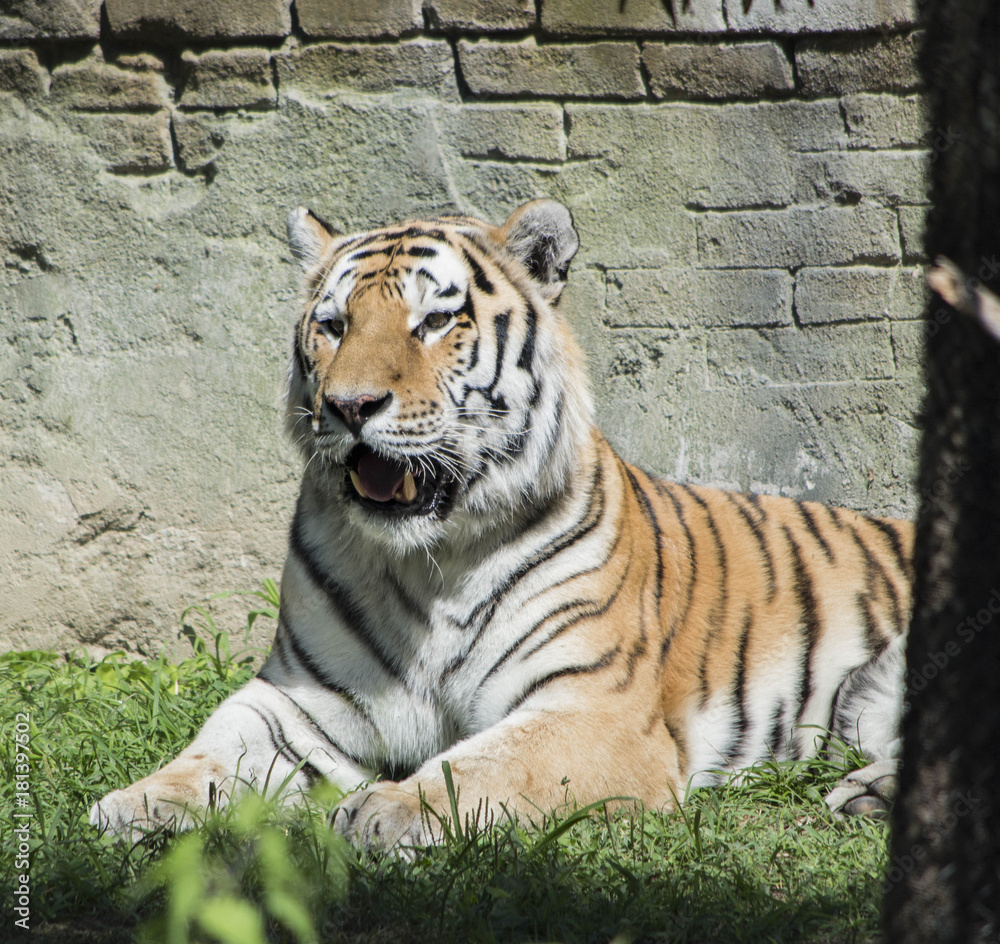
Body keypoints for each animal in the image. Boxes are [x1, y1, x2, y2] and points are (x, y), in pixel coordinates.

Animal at [91, 199, 912, 850]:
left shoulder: (591, 707)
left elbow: (479, 766)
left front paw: (387, 811)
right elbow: (217, 748)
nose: (349, 406)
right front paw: (136, 803)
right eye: (332, 325)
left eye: (433, 321)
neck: (427, 563)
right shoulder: (300, 697)